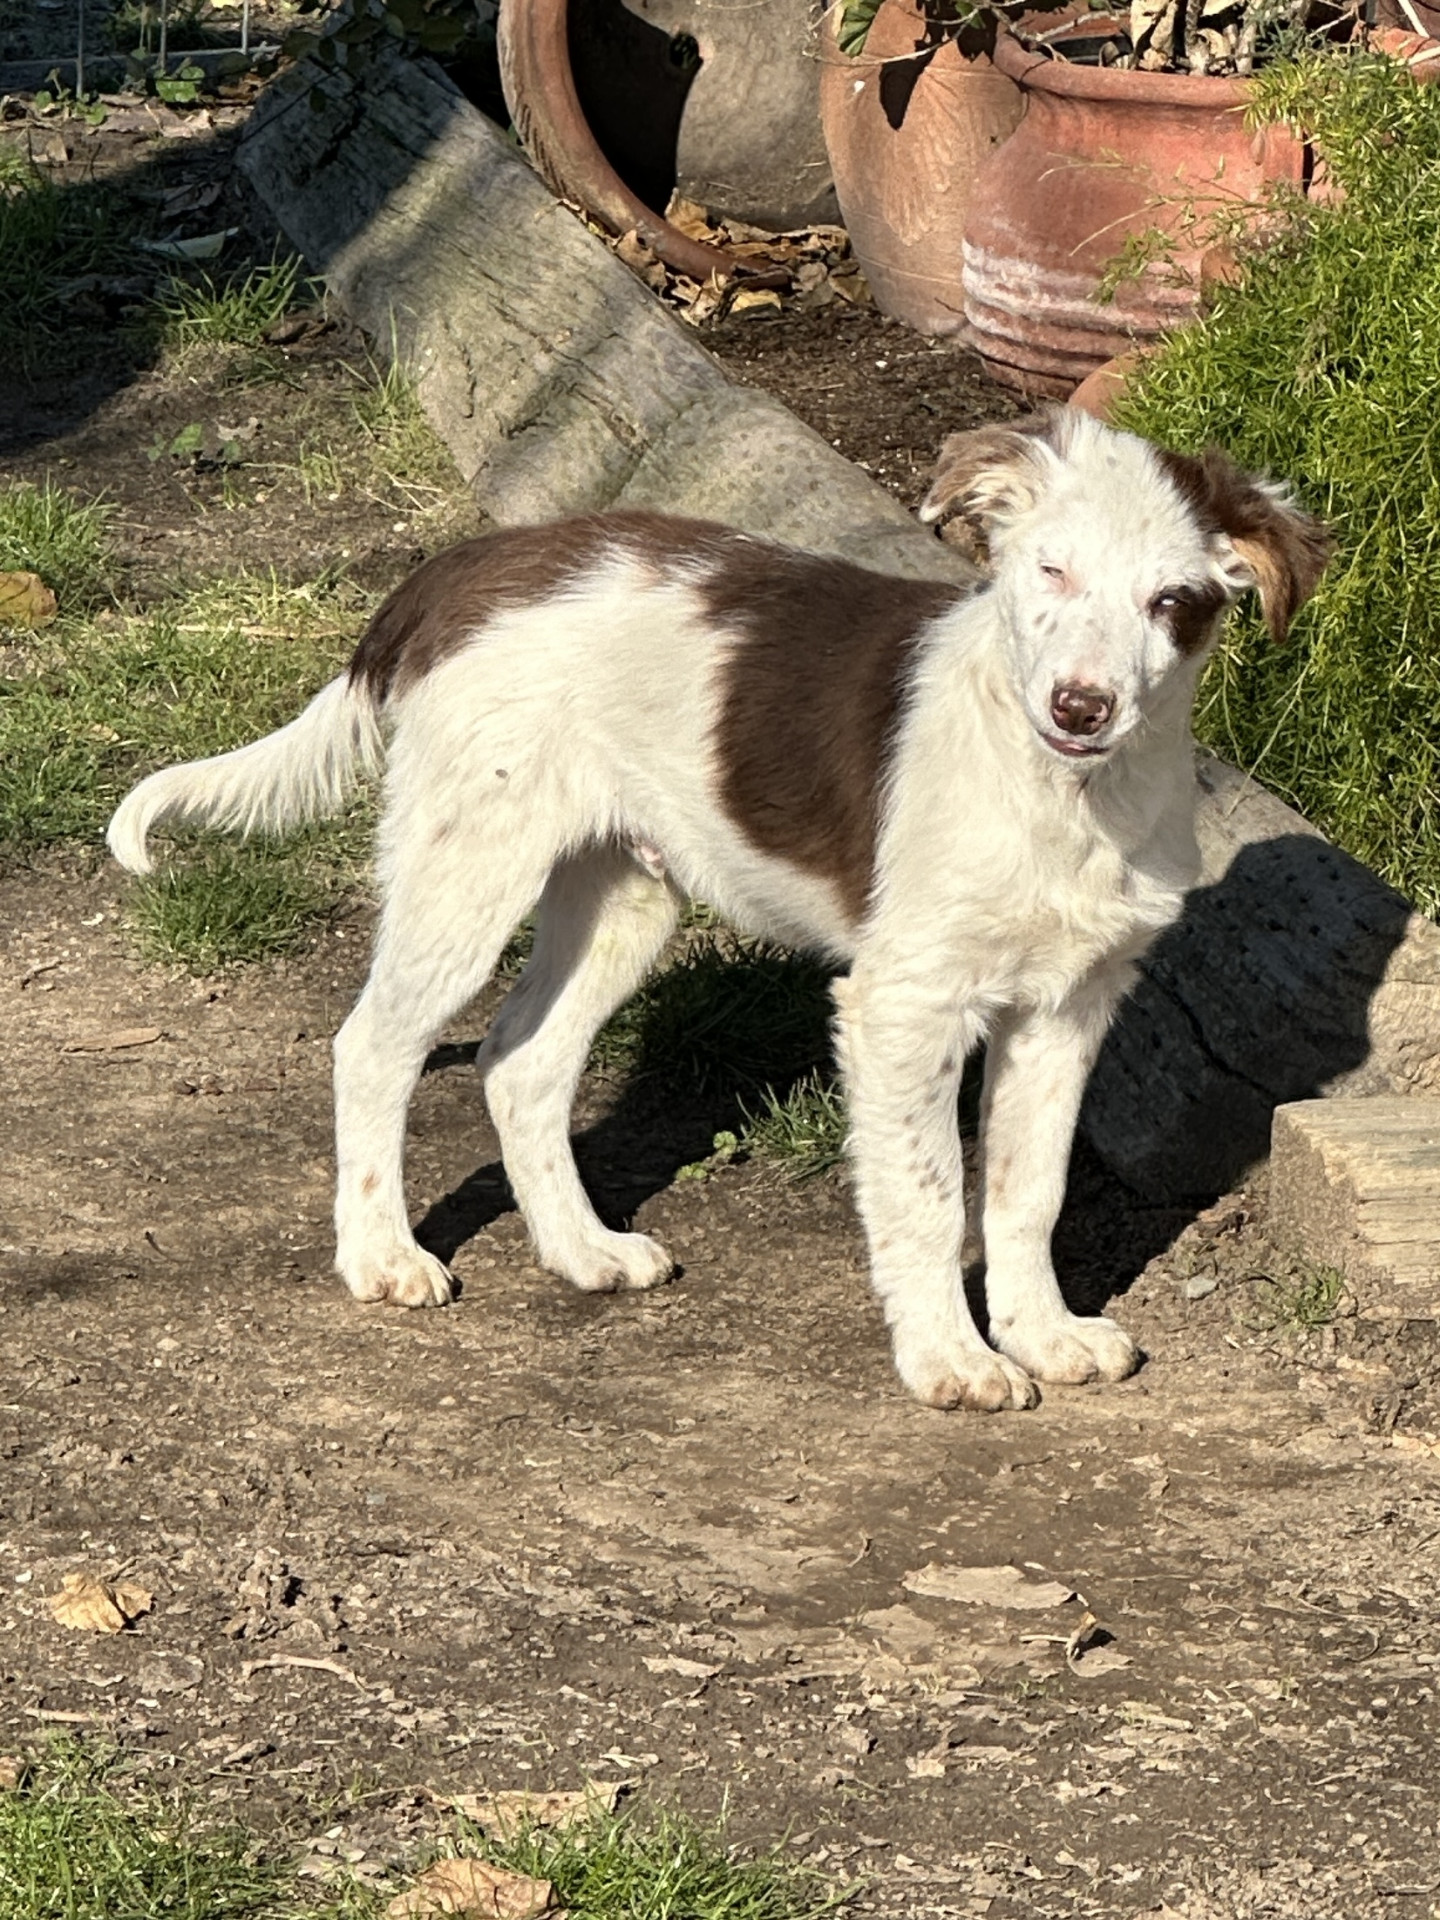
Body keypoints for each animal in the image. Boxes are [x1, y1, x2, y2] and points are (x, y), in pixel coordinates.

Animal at [109, 412, 1328, 1413]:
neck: (1067, 792)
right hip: (471, 866)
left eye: (1171, 604)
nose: (1082, 706)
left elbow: (1029, 1189)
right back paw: (381, 1258)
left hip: (624, 893)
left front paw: (1045, 1334)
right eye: (1049, 571)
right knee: (372, 1047)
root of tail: (470, 564)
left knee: (520, 1061)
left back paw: (582, 1250)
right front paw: (951, 1359)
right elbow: (932, 1195)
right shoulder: (906, 1003)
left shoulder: (1069, 1005)